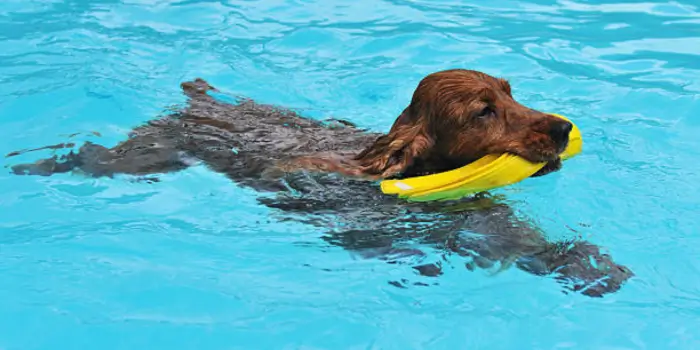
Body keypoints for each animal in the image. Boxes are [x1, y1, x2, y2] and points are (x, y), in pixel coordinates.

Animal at [8, 69, 636, 298]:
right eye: (484, 110)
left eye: (510, 91)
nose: (563, 129)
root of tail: (202, 100)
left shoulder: (487, 218)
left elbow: (534, 243)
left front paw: (593, 267)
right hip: (145, 157)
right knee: (89, 156)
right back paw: (30, 166)